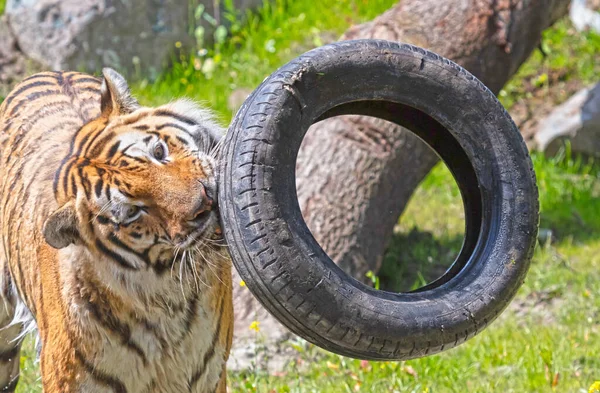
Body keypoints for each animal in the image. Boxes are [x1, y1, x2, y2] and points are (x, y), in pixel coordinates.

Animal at [0, 69, 233, 390]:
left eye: (158, 150)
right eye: (132, 211)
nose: (206, 202)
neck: (168, 307)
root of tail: (48, 71)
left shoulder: (209, 375)